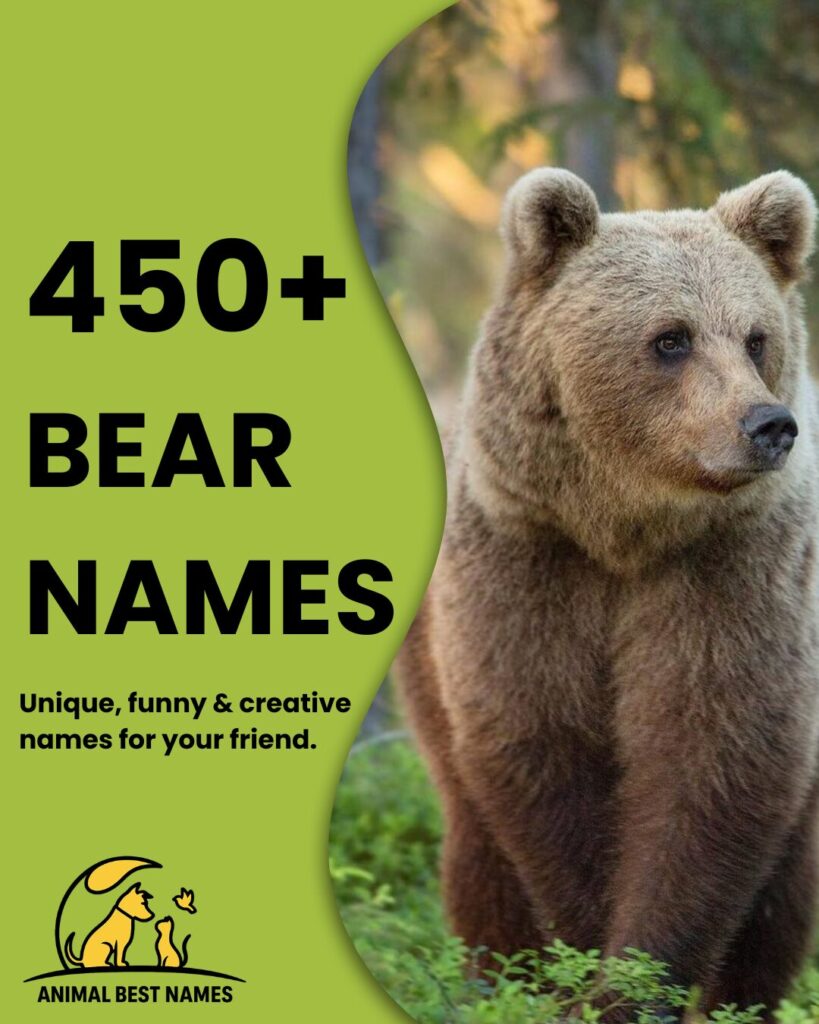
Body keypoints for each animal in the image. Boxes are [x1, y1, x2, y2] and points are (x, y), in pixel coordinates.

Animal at [395, 167, 819, 1021]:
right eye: (670, 337)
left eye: (755, 337)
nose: (766, 425)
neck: (624, 532)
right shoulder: (525, 560)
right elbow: (543, 747)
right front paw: (582, 963)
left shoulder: (734, 573)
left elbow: (711, 757)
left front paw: (638, 982)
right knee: (474, 841)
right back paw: (495, 979)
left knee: (780, 892)